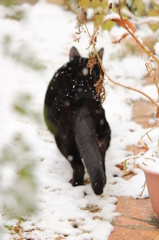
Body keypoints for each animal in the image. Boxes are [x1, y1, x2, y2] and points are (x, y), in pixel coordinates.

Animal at [43, 47, 110, 195]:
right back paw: (102, 182)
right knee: (100, 159)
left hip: (63, 140)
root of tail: (80, 99)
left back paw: (75, 183)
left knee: (77, 164)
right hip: (103, 133)